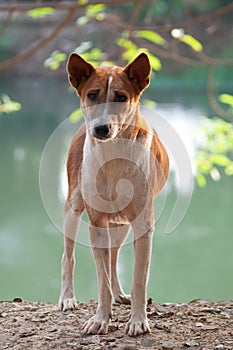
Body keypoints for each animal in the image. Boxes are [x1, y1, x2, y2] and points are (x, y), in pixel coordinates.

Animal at [57, 52, 168, 336]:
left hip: (122, 224)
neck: (113, 154)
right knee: (69, 256)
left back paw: (120, 294)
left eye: (120, 97)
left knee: (115, 256)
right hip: (73, 208)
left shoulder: (143, 225)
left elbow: (139, 280)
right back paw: (67, 298)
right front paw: (100, 319)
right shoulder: (96, 223)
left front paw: (138, 320)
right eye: (92, 95)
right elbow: (101, 280)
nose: (100, 129)